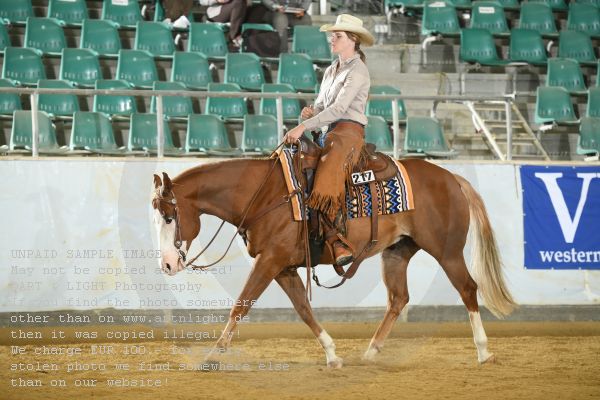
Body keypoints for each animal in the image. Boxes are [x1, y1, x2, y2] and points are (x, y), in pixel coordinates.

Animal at [151, 157, 516, 368]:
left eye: (169, 217)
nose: (167, 265)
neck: (264, 194)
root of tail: (452, 177)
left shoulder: (270, 260)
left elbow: (241, 305)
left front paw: (212, 355)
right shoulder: (282, 266)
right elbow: (303, 309)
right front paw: (332, 353)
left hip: (447, 250)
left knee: (468, 288)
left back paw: (483, 351)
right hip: (397, 251)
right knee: (398, 298)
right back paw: (370, 352)